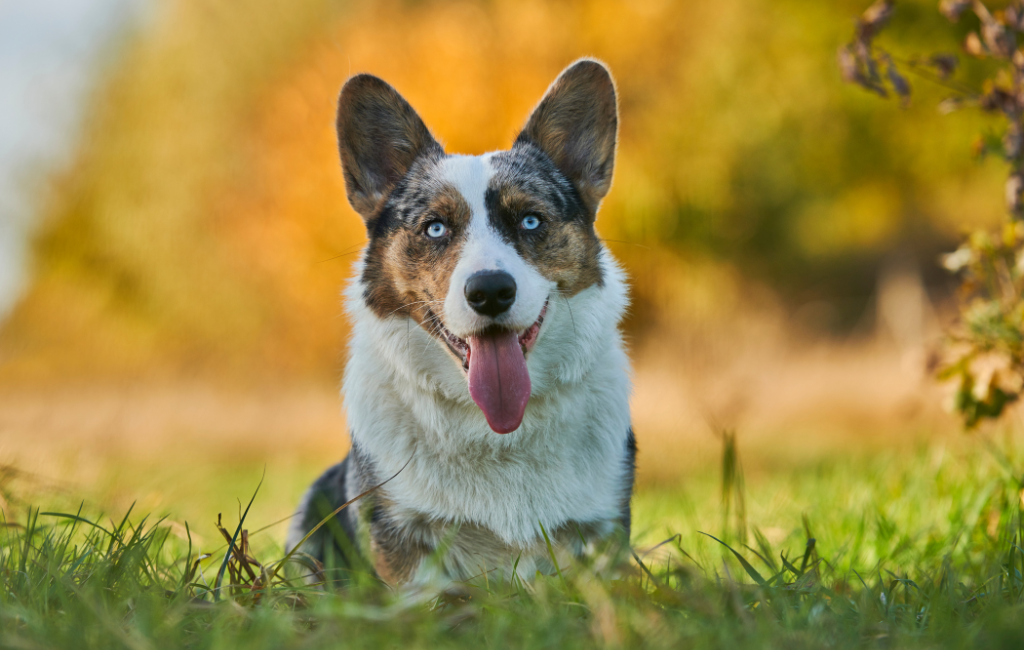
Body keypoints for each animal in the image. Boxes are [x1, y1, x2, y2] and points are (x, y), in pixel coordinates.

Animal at [288, 59, 634, 589]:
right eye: (435, 227)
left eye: (530, 221)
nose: (490, 291)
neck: (495, 429)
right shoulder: (403, 546)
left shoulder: (600, 535)